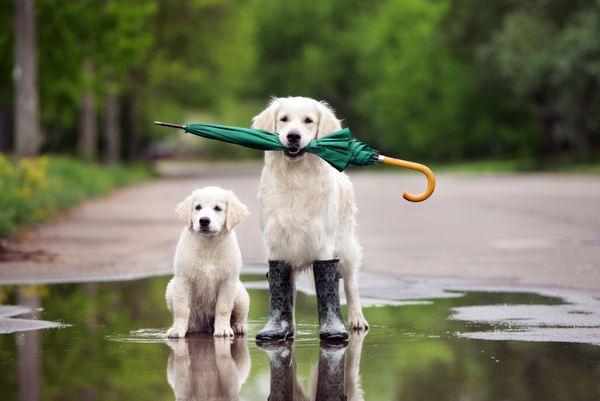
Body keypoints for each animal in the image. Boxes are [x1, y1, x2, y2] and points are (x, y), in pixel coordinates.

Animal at [165, 186, 250, 336]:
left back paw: (238, 326)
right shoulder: (183, 279)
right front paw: (177, 330)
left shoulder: (228, 281)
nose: (204, 220)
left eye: (218, 208)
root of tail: (205, 328)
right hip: (171, 289)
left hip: (241, 295)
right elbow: (181, 308)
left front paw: (223, 329)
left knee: (240, 315)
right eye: (197, 207)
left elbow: (223, 308)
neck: (208, 245)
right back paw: (189, 328)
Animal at [252, 96, 366, 338]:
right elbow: (284, 290)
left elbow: (330, 283)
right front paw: (281, 327)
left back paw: (357, 319)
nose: (293, 136)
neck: (296, 177)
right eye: (284, 119)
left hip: (345, 245)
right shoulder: (277, 243)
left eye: (308, 120)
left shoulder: (323, 243)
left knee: (350, 283)